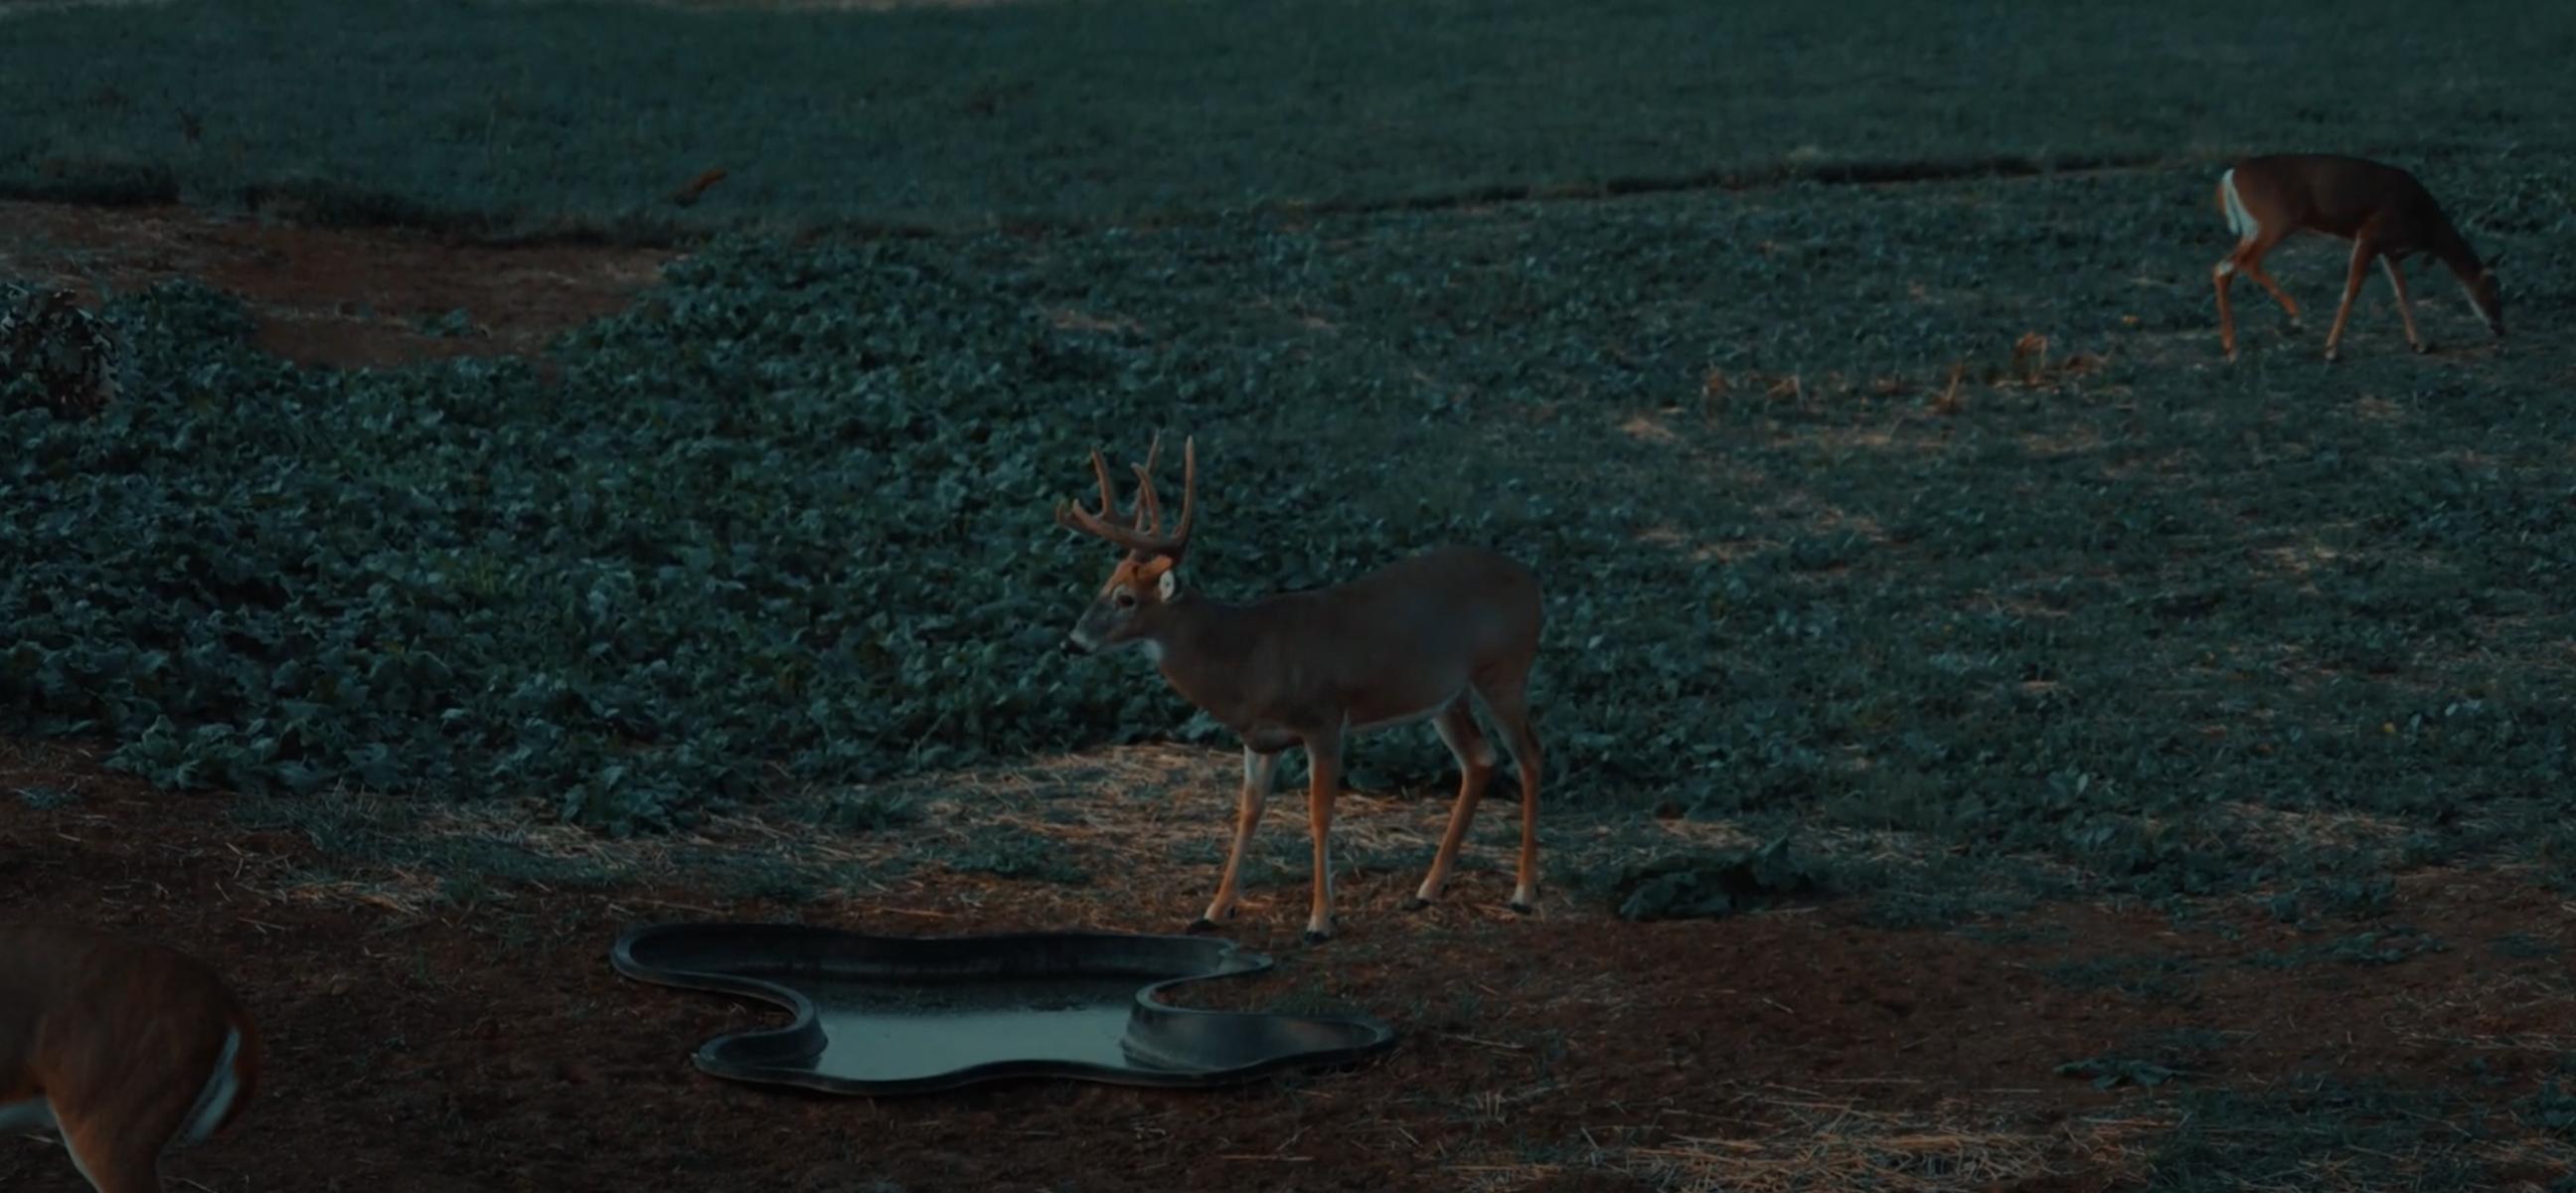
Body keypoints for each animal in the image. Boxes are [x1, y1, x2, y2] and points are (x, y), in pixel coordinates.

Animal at [1053, 436, 1546, 943]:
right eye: (1104, 586)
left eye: (1126, 599)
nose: (1070, 643)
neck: (1247, 657)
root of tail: (1533, 582)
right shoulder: (1259, 738)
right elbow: (1248, 811)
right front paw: (1214, 910)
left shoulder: (1323, 720)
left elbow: (1319, 812)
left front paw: (1320, 919)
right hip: (1446, 697)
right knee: (1480, 759)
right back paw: (1428, 888)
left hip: (1504, 672)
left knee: (1530, 756)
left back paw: (1524, 892)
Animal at [2211, 153, 2505, 362]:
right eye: (2495, 290)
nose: (2500, 328)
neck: (2426, 227)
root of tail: (2229, 177)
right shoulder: (2370, 235)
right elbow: (2352, 289)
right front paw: (2331, 349)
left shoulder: (2390, 251)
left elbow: (2402, 293)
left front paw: (2419, 344)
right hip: (2275, 220)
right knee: (2238, 264)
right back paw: (2280, 325)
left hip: (2253, 227)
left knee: (2225, 266)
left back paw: (2235, 345)